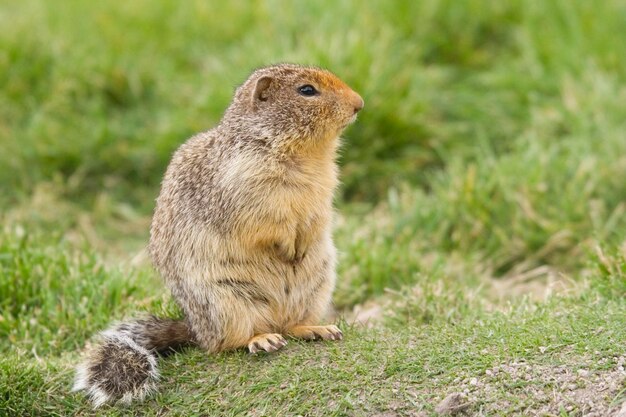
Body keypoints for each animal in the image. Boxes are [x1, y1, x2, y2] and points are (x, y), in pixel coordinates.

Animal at [73, 63, 364, 404]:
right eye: (307, 90)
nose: (359, 103)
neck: (304, 156)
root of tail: (196, 330)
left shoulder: (323, 187)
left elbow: (317, 217)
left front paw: (302, 244)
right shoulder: (245, 189)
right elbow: (267, 224)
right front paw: (286, 247)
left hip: (317, 286)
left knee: (291, 325)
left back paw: (316, 329)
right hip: (223, 301)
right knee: (227, 343)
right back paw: (262, 339)